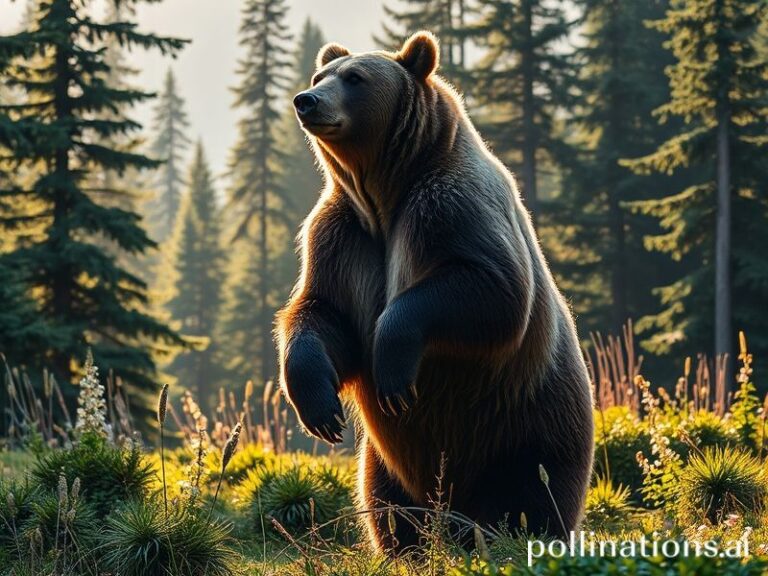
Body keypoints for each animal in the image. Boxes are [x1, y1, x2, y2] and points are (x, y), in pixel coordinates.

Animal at [276, 31, 594, 555]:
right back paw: (407, 544)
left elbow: (493, 290)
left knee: (533, 493)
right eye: (320, 75)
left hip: (527, 426)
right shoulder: (341, 236)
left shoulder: (451, 208)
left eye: (355, 78)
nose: (307, 101)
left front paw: (392, 373)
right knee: (386, 501)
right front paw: (321, 411)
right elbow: (322, 312)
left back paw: (515, 534)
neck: (383, 195)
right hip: (385, 462)